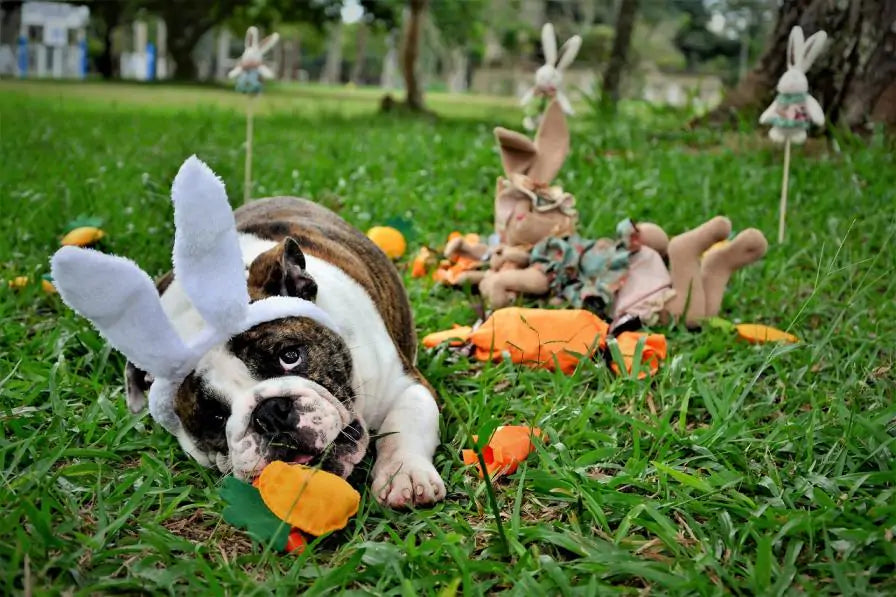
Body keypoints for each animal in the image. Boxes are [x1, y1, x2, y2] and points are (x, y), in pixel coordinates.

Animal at [54, 155, 446, 508]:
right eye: (215, 417)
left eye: (291, 356)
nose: (270, 414)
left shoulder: (406, 384)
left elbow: (407, 424)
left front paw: (404, 474)